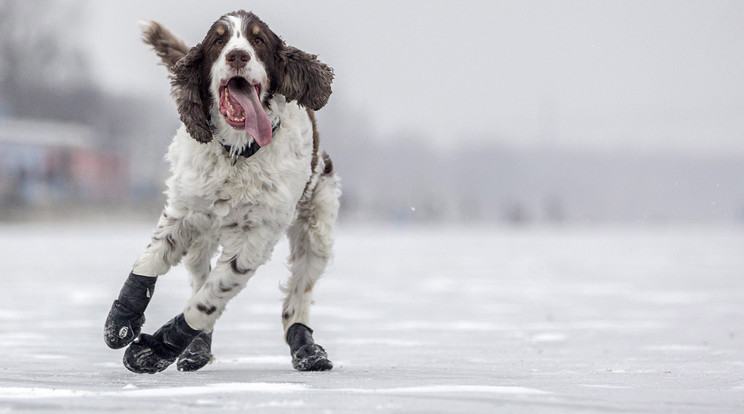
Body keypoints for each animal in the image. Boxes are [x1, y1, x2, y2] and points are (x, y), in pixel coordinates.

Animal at [102, 9, 340, 374]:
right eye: (218, 41)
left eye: (258, 40)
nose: (237, 55)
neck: (237, 153)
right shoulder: (184, 211)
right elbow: (151, 259)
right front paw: (123, 318)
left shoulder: (255, 237)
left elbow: (208, 301)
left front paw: (155, 349)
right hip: (203, 237)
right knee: (198, 275)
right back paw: (197, 349)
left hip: (317, 228)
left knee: (297, 294)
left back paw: (307, 349)